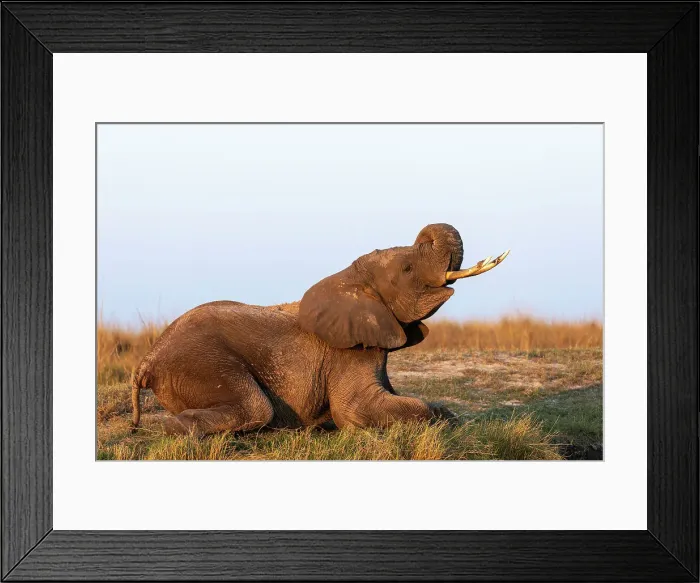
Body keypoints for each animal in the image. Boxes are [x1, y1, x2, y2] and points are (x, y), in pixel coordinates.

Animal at [130, 223, 509, 435]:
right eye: (407, 268)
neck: (351, 279)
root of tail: (147, 360)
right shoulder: (348, 354)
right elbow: (358, 409)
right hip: (198, 363)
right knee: (256, 407)